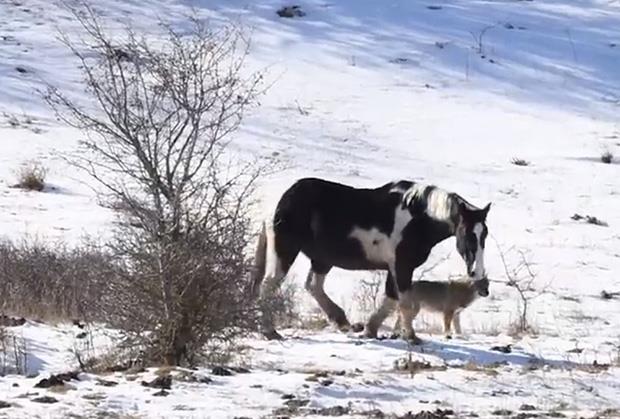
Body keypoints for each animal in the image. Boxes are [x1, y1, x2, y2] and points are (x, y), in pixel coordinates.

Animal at [251, 177, 491, 342]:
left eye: (484, 234)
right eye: (468, 233)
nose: (476, 272)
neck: (417, 219)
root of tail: (279, 202)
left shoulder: (394, 268)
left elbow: (391, 299)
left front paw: (370, 329)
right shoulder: (402, 266)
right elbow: (404, 302)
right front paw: (411, 336)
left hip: (322, 259)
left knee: (313, 286)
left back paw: (342, 322)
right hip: (285, 251)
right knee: (269, 286)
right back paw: (270, 331)